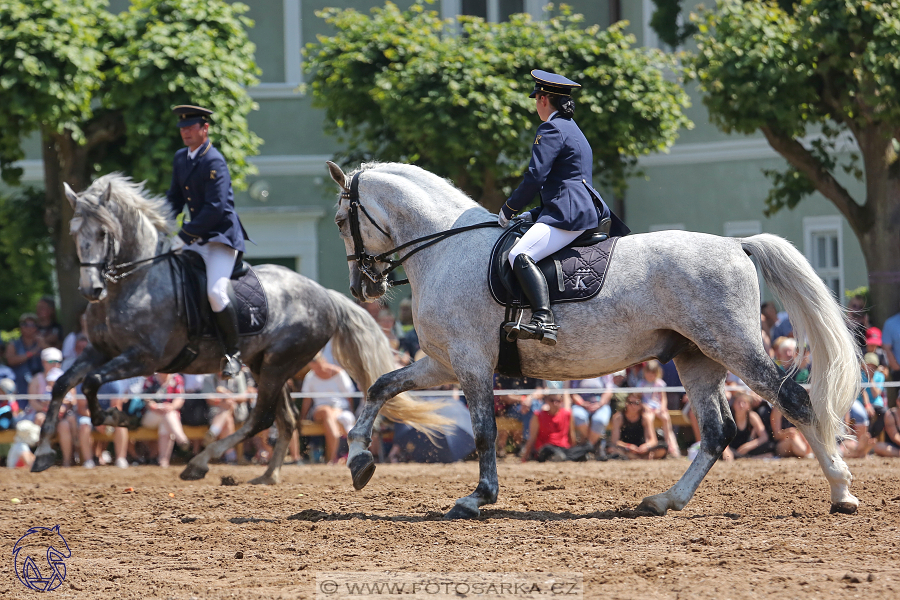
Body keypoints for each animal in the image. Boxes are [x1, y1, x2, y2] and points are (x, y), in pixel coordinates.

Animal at [30, 173, 446, 482]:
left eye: (103, 233)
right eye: (74, 233)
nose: (91, 290)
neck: (133, 282)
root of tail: (323, 293)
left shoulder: (144, 357)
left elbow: (91, 382)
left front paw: (112, 418)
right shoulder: (99, 350)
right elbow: (63, 384)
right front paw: (44, 453)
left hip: (279, 364)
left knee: (262, 418)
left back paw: (200, 463)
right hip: (266, 365)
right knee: (284, 419)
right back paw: (267, 475)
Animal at [326, 162, 860, 516]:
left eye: (340, 221)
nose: (362, 287)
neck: (444, 248)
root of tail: (737, 244)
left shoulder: (471, 362)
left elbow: (483, 431)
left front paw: (477, 497)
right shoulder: (441, 362)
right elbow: (381, 386)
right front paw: (358, 461)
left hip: (733, 347)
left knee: (794, 400)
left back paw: (841, 491)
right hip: (696, 358)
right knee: (717, 431)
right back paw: (665, 500)